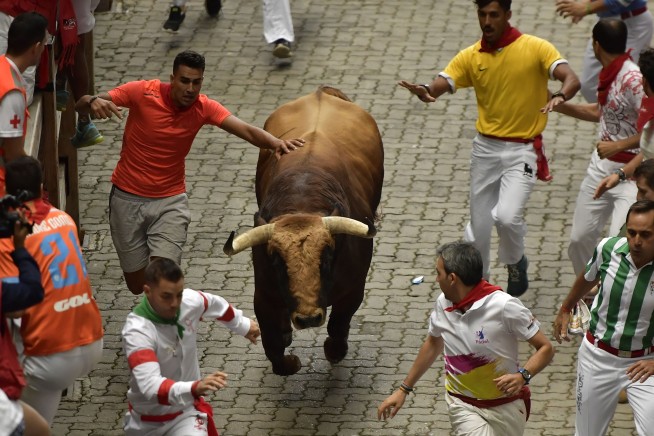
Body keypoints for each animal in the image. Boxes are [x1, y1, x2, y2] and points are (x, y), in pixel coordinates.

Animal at [223, 86, 384, 375]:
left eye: (327, 256)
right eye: (277, 260)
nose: (308, 318)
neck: (302, 202)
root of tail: (321, 93)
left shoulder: (354, 288)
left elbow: (339, 324)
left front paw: (334, 350)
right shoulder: (264, 294)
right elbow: (273, 345)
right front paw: (289, 359)